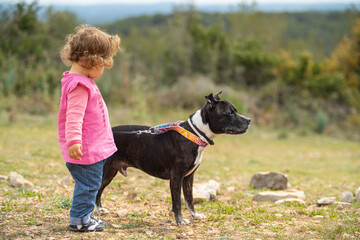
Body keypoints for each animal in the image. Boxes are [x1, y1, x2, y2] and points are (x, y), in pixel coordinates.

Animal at [95, 92, 250, 225]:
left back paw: (99, 209)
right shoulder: (176, 177)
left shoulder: (188, 178)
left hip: (109, 173)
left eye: (235, 110)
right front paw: (180, 221)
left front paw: (195, 215)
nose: (249, 120)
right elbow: (177, 202)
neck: (195, 133)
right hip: (104, 172)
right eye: (230, 113)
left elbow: (189, 199)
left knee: (99, 191)